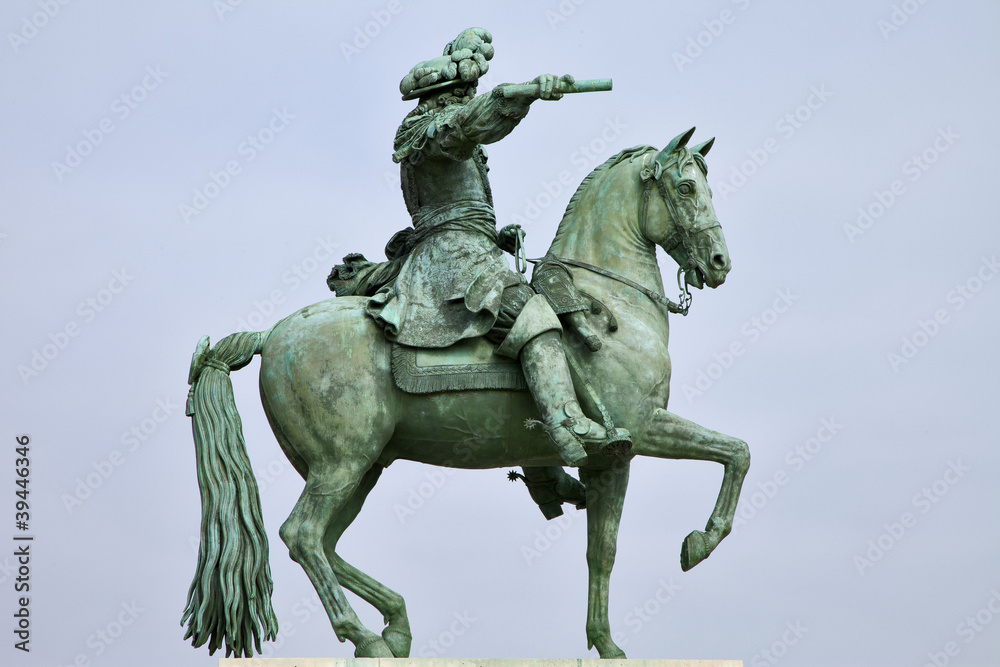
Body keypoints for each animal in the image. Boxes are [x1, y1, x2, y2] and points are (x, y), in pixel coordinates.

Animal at [182, 128, 752, 660]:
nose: (720, 262)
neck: (612, 304)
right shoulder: (639, 430)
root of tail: (271, 336)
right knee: (302, 535)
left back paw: (394, 624)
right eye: (686, 187)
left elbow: (603, 549)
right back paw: (365, 637)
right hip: (341, 463)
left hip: (360, 468)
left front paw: (606, 643)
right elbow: (735, 453)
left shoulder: (609, 461)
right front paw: (701, 542)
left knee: (324, 542)